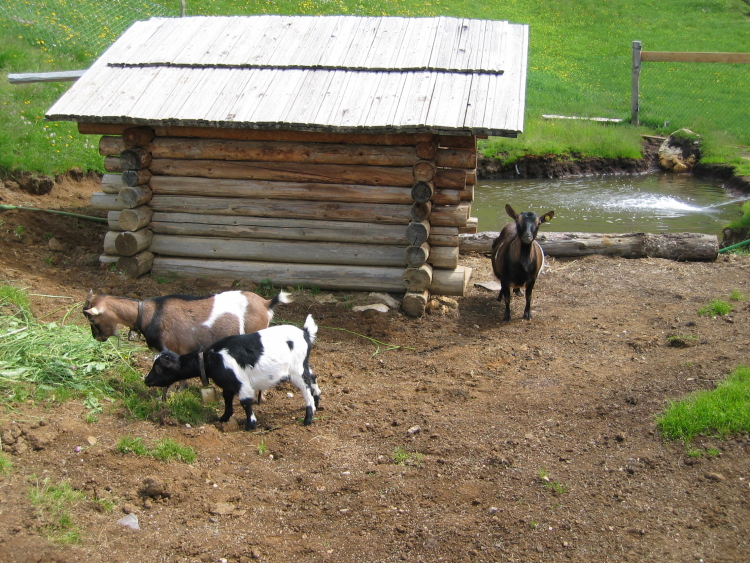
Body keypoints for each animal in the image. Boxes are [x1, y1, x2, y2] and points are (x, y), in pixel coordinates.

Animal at [145, 316, 322, 430]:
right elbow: (227, 401)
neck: (211, 358)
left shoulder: (241, 383)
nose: (146, 380)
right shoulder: (228, 384)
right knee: (312, 378)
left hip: (296, 370)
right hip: (303, 365)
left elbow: (245, 402)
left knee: (306, 388)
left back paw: (308, 417)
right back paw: (317, 403)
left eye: (159, 368)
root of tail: (305, 333)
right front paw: (223, 419)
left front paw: (250, 425)